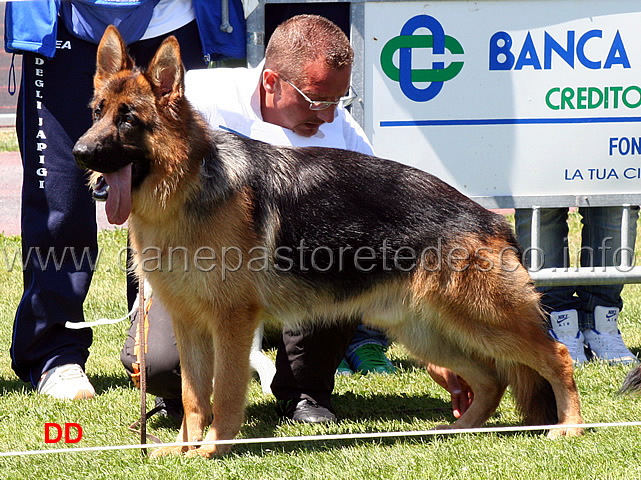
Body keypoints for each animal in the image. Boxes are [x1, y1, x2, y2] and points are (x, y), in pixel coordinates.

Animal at [72, 27, 584, 458]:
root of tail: (492, 220)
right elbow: (194, 395)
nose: (79, 153)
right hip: (431, 330)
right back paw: (461, 428)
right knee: (492, 378)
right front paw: (184, 448)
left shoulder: (231, 323)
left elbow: (226, 391)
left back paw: (570, 427)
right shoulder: (189, 324)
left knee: (555, 356)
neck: (187, 186)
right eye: (97, 113)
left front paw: (213, 449)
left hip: (484, 319)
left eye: (128, 120)